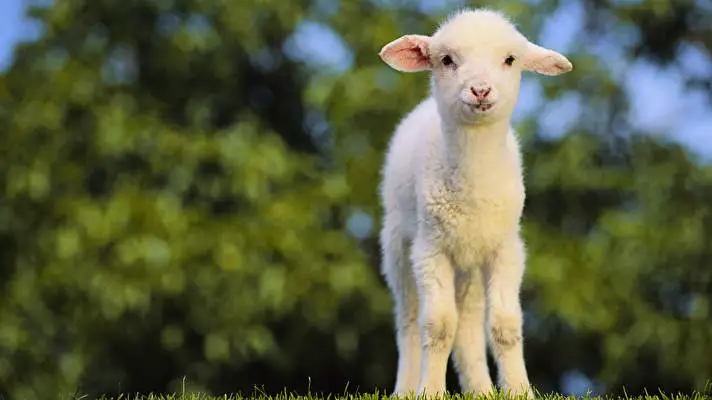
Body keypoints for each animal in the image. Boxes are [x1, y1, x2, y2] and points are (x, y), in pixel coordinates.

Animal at [377, 8, 573, 399]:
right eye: (446, 60)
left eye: (510, 60)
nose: (480, 89)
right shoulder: (430, 249)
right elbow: (437, 326)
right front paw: (430, 391)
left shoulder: (506, 248)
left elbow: (505, 325)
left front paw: (520, 391)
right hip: (398, 246)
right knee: (409, 321)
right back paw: (406, 388)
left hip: (470, 263)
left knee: (468, 324)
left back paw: (480, 389)